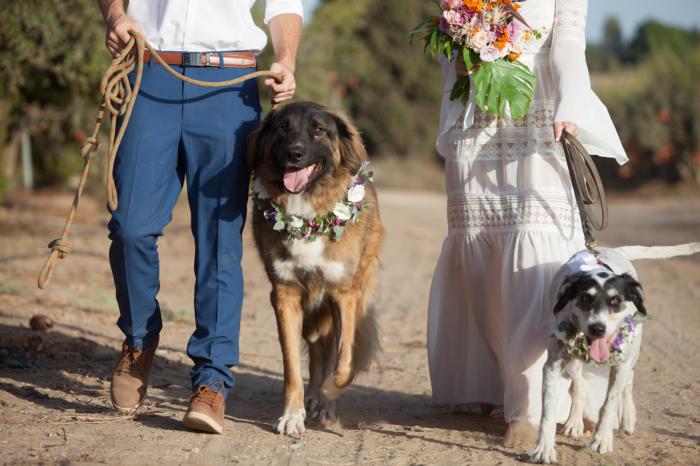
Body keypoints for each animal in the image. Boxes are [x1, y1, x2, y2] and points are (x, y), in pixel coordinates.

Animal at [247, 102, 382, 436]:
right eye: (283, 127)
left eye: (319, 130)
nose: (294, 153)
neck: (307, 211)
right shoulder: (285, 295)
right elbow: (292, 367)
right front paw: (292, 415)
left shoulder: (344, 295)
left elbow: (344, 365)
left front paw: (329, 394)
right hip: (313, 316)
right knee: (318, 352)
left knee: (332, 352)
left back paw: (324, 402)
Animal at [532, 242, 700, 464]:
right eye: (585, 297)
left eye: (615, 300)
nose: (598, 328)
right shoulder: (552, 365)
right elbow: (548, 411)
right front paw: (544, 448)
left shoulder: (620, 364)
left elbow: (609, 404)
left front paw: (601, 440)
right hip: (572, 360)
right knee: (580, 385)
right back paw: (575, 422)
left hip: (631, 350)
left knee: (629, 378)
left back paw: (628, 417)